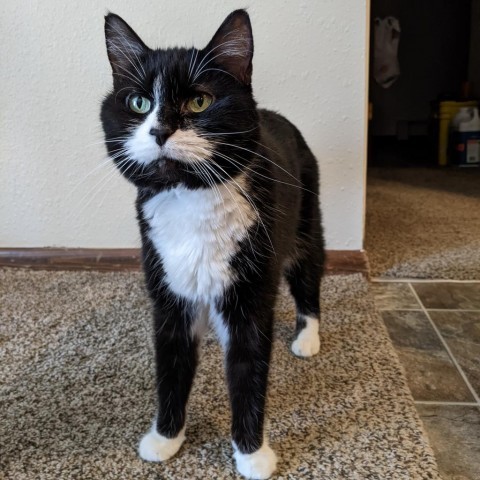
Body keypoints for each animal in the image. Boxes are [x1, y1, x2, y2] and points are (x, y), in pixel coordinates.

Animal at [101, 8, 326, 480]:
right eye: (138, 103)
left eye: (199, 102)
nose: (159, 131)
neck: (191, 198)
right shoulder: (167, 291)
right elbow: (170, 368)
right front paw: (165, 438)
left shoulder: (250, 295)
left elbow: (248, 373)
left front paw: (252, 454)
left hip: (305, 221)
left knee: (308, 275)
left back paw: (307, 337)